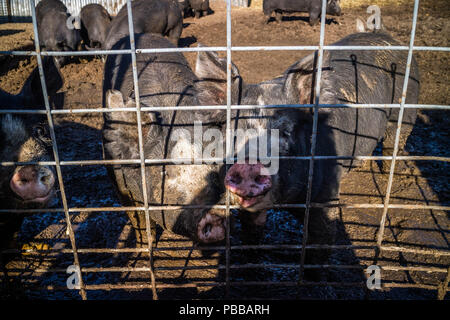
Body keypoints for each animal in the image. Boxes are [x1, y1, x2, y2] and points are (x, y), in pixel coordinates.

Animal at [100, 33, 234, 245]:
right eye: (165, 172)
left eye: (214, 168)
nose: (212, 214)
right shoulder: (119, 183)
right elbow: (139, 221)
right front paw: (146, 246)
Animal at [217, 31, 418, 278]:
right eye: (231, 135)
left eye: (286, 132)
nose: (248, 165)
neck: (287, 203)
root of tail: (387, 36)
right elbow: (251, 232)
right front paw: (250, 270)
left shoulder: (324, 195)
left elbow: (322, 239)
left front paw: (312, 278)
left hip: (407, 107)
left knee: (395, 140)